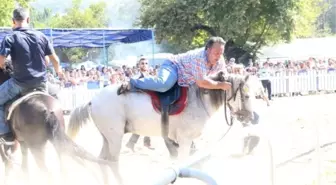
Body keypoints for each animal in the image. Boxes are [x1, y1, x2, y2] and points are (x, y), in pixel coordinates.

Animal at [67, 71, 258, 184]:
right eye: (247, 96)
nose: (252, 117)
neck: (198, 99)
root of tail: (93, 100)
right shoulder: (185, 141)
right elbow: (182, 163)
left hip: (107, 138)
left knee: (103, 160)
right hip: (115, 138)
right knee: (113, 163)